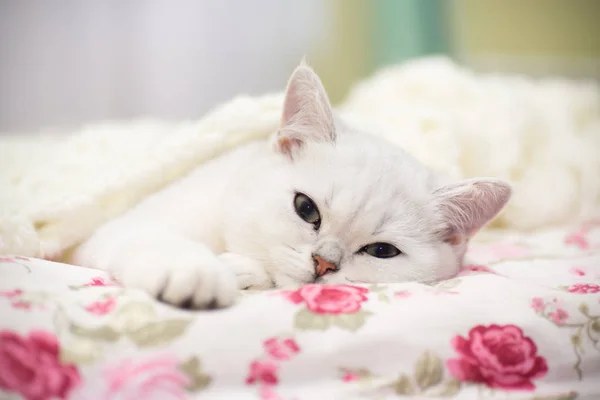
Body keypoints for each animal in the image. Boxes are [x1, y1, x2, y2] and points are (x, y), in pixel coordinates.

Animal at [70, 63, 510, 310]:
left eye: (382, 251)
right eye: (306, 209)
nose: (324, 264)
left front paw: (240, 270)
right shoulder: (117, 229)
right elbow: (155, 240)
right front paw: (197, 274)